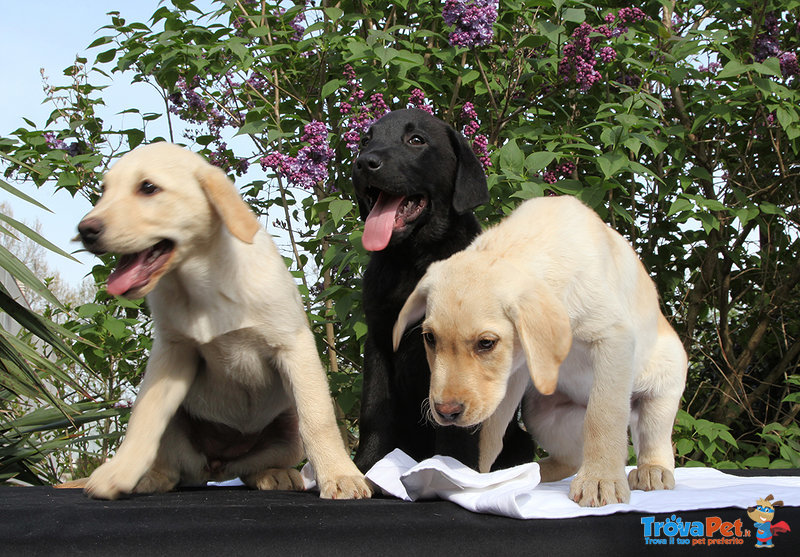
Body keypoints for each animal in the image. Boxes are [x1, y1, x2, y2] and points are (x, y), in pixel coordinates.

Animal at [76, 142, 370, 500]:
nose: (85, 231)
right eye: (103, 191)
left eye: (148, 188)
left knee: (257, 465)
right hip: (180, 429)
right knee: (172, 466)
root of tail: (216, 467)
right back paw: (151, 477)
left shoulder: (293, 345)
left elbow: (319, 419)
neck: (202, 285)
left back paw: (275, 475)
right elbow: (145, 417)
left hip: (287, 432)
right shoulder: (173, 352)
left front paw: (340, 475)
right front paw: (118, 472)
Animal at [352, 107, 532, 470]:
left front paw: (450, 470)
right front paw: (366, 467)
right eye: (366, 139)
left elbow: (455, 423)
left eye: (416, 140)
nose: (364, 163)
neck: (412, 260)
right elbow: (374, 409)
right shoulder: (379, 339)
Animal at [390, 197, 684, 508]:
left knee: (653, 435)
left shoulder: (612, 340)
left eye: (486, 343)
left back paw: (653, 470)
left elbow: (604, 415)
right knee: (571, 457)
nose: (446, 412)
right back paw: (534, 471)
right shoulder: (513, 372)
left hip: (664, 384)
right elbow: (491, 432)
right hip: (542, 415)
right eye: (430, 338)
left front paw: (600, 479)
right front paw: (479, 479)